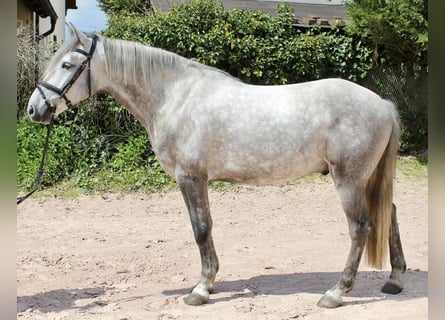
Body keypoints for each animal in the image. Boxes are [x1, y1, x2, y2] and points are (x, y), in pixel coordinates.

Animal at [25, 25, 406, 308]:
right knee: (389, 213)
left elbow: (201, 229)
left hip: (349, 180)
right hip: (368, 179)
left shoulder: (190, 177)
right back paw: (395, 279)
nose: (34, 109)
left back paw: (336, 292)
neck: (174, 98)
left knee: (360, 227)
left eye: (67, 65)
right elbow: (203, 228)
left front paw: (201, 288)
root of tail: (382, 104)